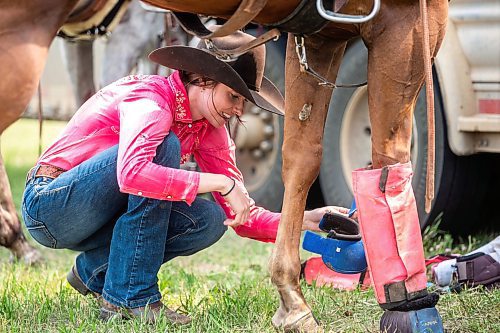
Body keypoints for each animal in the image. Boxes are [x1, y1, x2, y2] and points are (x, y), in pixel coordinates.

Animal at [0, 1, 450, 330]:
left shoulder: (320, 35)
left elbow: (302, 157)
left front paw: (292, 300)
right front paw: (410, 305)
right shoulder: (404, 24)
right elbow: (389, 161)